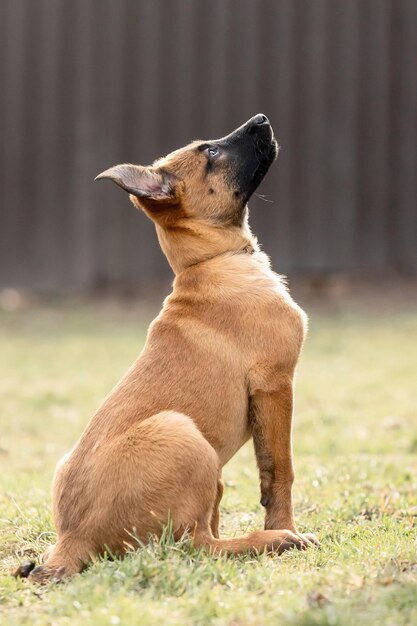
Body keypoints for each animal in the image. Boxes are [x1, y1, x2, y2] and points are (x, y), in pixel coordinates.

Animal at [15, 113, 316, 580]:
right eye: (211, 152)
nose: (262, 118)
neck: (210, 263)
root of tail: (72, 540)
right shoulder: (275, 384)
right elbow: (278, 470)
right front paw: (285, 526)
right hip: (181, 432)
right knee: (198, 545)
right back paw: (274, 540)